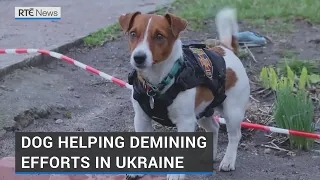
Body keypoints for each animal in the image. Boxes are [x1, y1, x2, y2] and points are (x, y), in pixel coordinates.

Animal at [119, 7, 251, 180]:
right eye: (133, 34)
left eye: (159, 36)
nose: (139, 57)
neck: (157, 83)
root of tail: (226, 49)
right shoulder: (141, 118)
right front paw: (139, 169)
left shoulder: (185, 122)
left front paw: (176, 173)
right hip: (202, 112)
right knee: (214, 128)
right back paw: (209, 156)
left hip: (232, 112)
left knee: (235, 136)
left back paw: (228, 161)